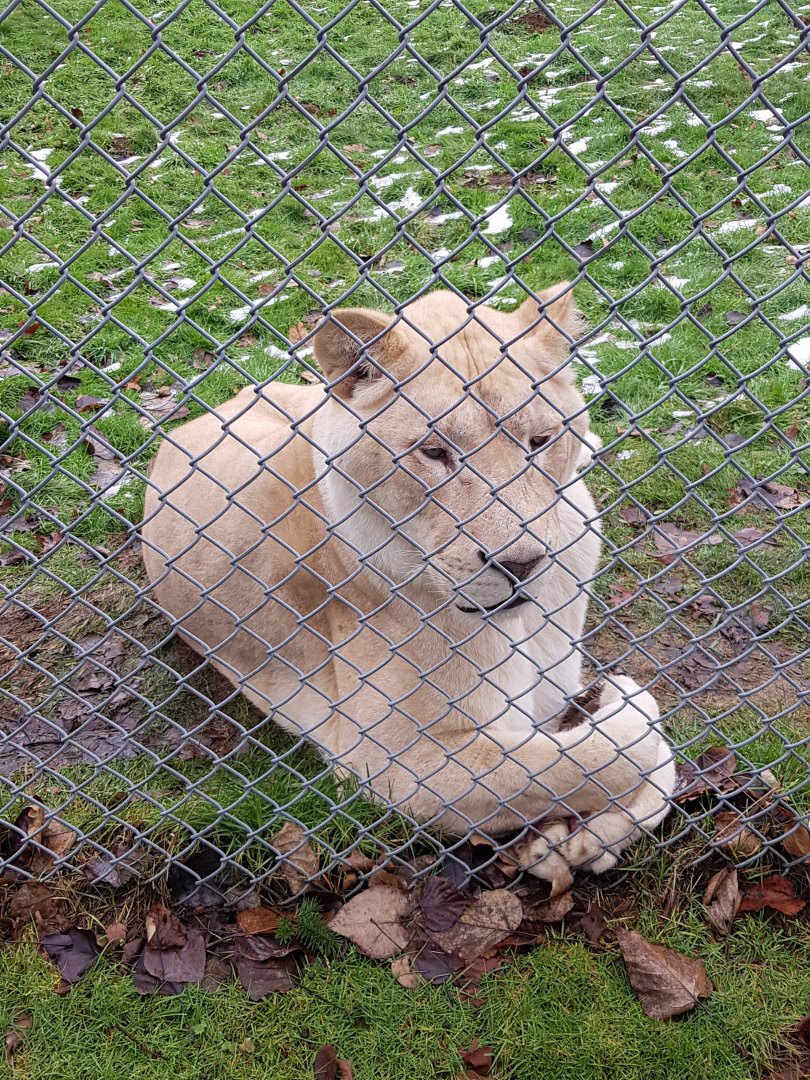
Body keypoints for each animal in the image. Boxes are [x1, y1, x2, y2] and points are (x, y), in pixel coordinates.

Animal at [141, 284, 675, 891]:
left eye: (540, 440)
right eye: (434, 452)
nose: (520, 564)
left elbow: (655, 766)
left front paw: (579, 840)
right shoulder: (393, 761)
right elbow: (608, 748)